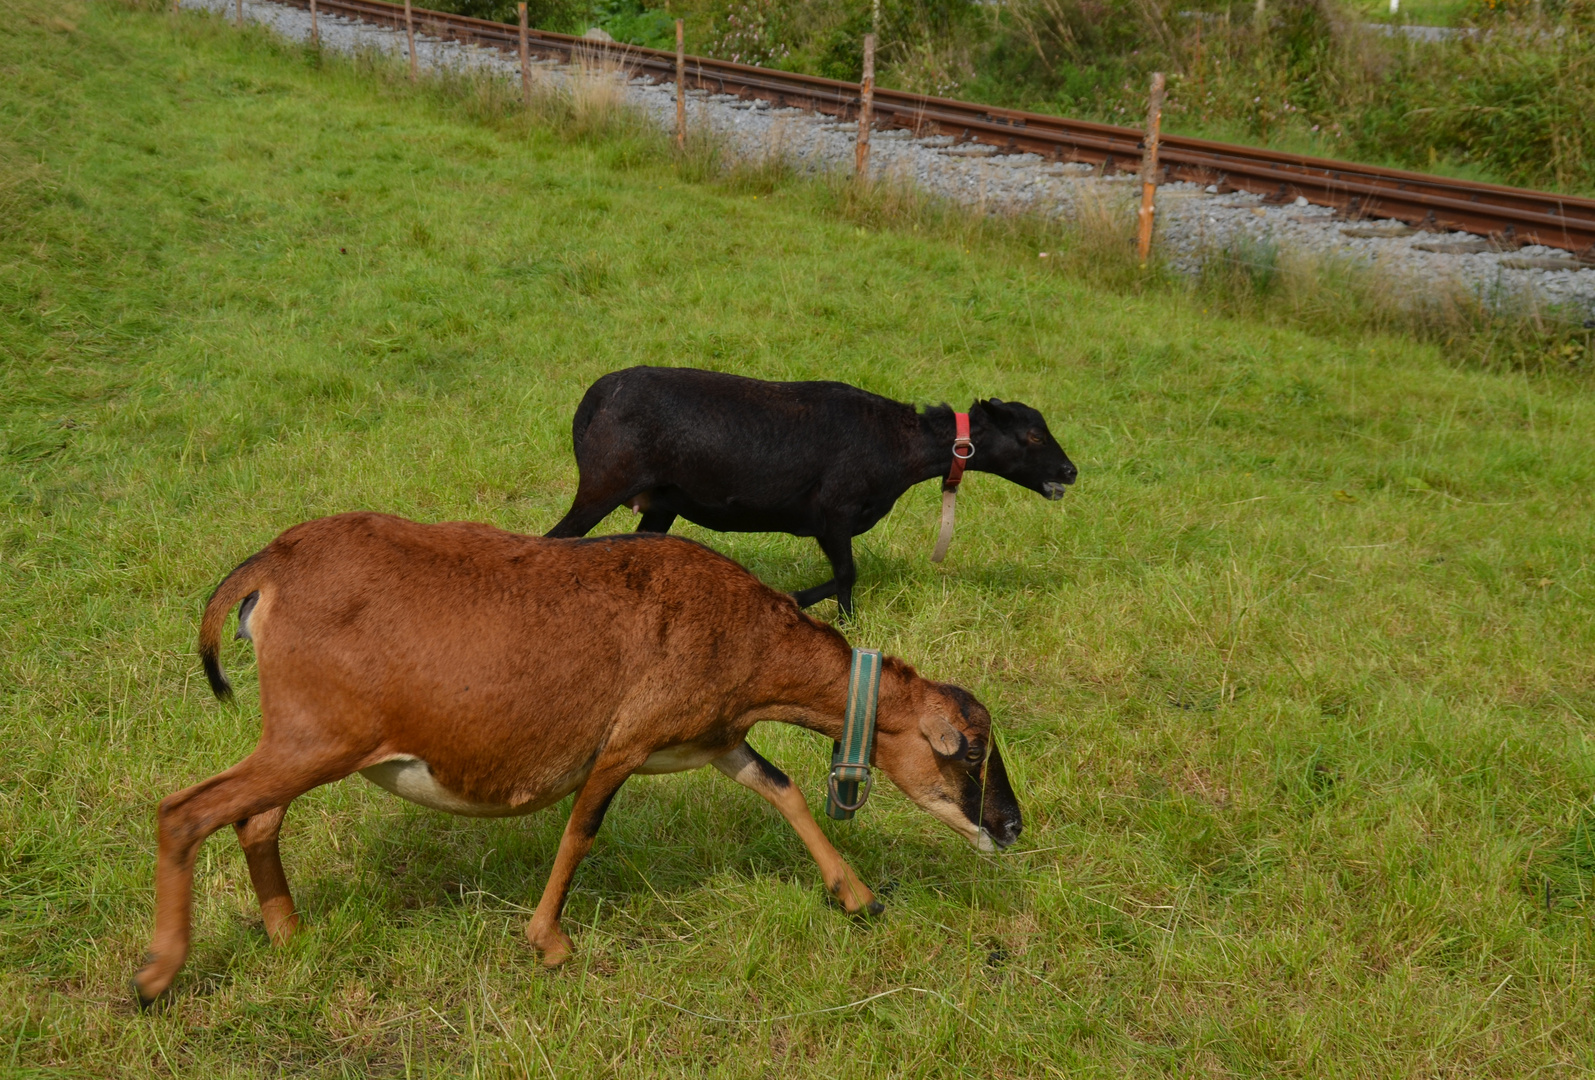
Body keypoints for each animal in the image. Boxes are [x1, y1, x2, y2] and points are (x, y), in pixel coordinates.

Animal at [140, 510, 1033, 1001]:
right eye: (969, 752)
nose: (1010, 827)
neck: (739, 631)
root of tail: (268, 568)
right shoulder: (623, 743)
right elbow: (582, 829)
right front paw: (550, 943)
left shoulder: (711, 738)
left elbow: (779, 787)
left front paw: (857, 897)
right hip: (314, 738)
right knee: (186, 812)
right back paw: (155, 978)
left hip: (307, 740)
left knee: (253, 822)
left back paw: (291, 938)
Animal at [542, 366, 1078, 609]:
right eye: (1033, 436)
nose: (1071, 472)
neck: (903, 445)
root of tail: (595, 397)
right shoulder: (835, 512)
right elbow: (846, 575)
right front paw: (841, 621)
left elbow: (840, 577)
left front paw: (793, 601)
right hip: (605, 482)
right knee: (557, 540)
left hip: (660, 502)